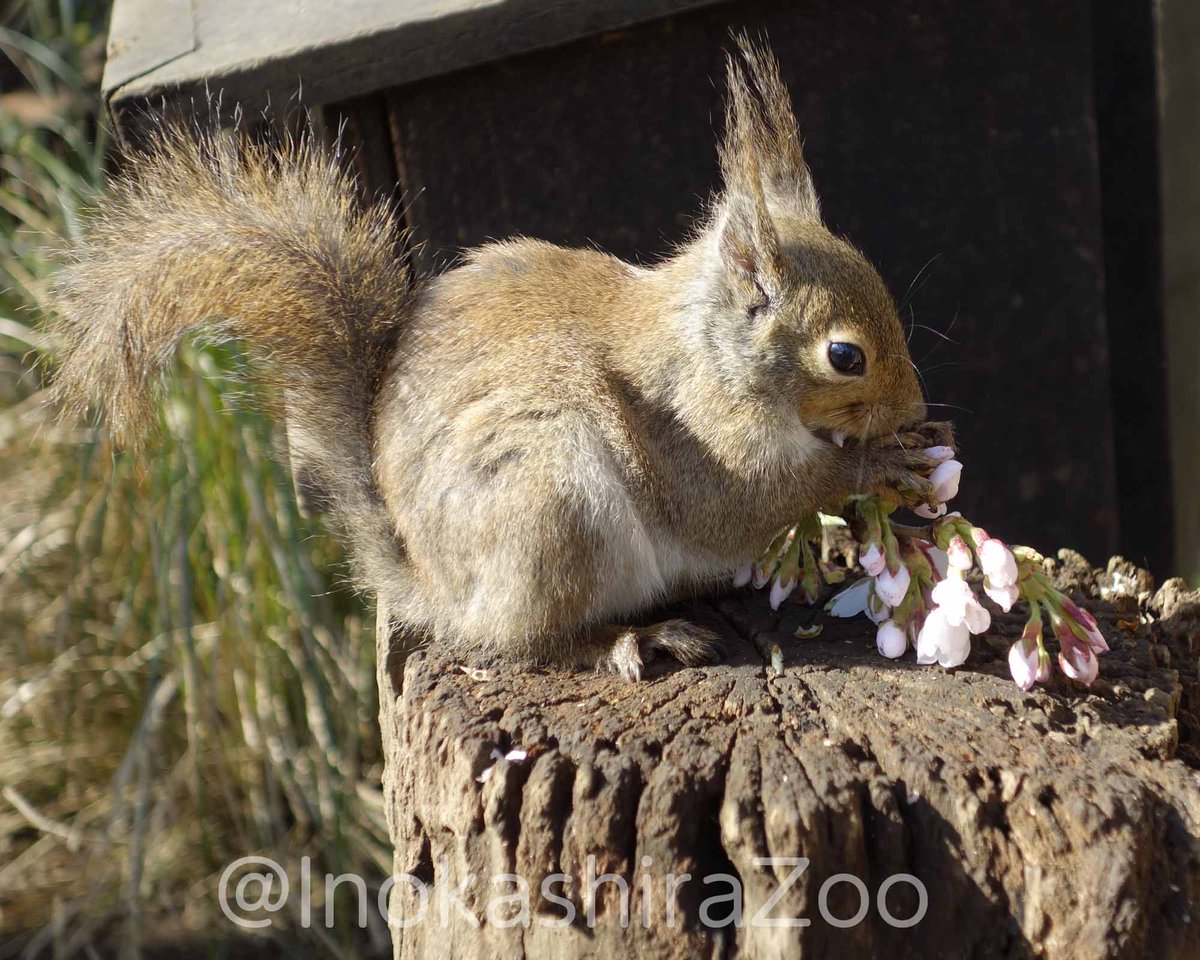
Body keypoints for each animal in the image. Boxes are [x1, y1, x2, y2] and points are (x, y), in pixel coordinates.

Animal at [46, 41, 945, 676]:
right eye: (845, 356)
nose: (915, 410)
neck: (715, 358)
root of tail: (439, 592)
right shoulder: (693, 440)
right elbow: (744, 503)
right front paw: (875, 468)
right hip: (551, 503)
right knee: (530, 643)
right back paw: (634, 641)